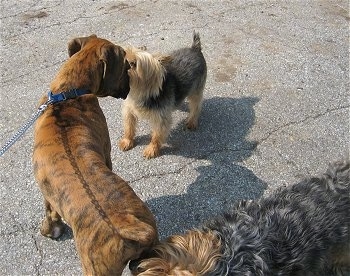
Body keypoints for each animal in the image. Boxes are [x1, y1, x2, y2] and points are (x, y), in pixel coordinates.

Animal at [32, 35, 159, 274]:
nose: (129, 86)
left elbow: (49, 210)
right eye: (126, 67)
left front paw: (50, 228)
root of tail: (124, 228)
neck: (69, 93)